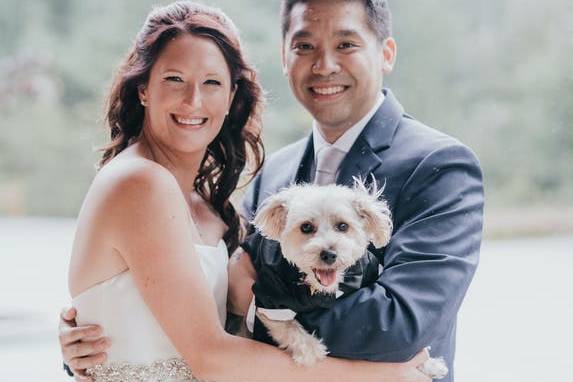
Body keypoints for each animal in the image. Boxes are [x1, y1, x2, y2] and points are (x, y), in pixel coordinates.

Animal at [254, 181, 446, 380]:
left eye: (342, 226)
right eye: (306, 227)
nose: (329, 254)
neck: (321, 290)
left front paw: (430, 364)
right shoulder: (269, 298)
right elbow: (289, 328)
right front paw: (312, 350)